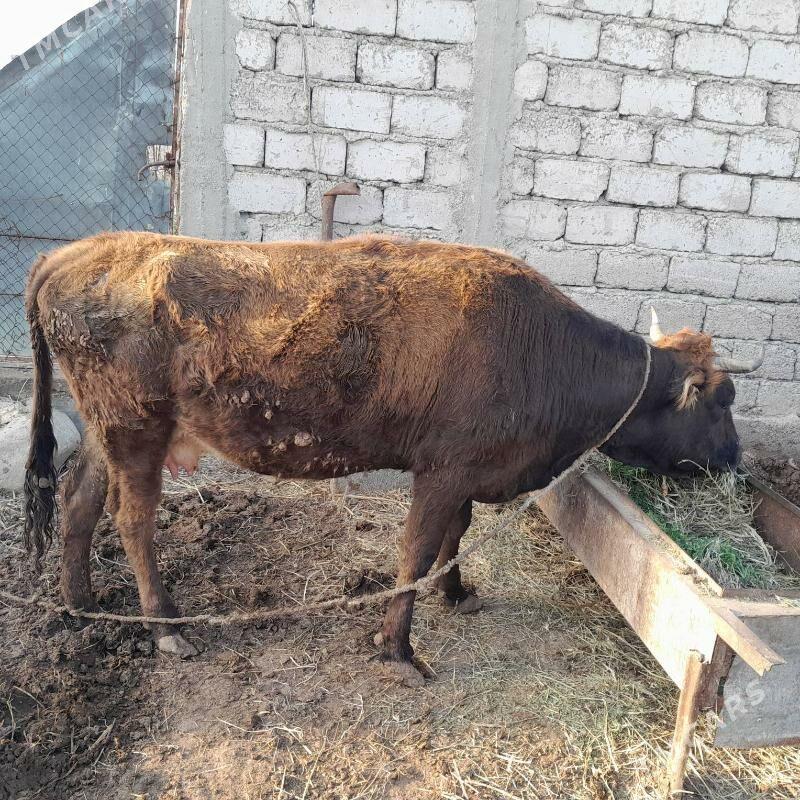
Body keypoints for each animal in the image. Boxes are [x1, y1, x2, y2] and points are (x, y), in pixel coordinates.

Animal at [24, 232, 758, 683]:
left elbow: (455, 536)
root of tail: (81, 251)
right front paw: (399, 648)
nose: (734, 459)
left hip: (106, 432)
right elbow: (416, 550)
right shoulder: (442, 472)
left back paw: (82, 603)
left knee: (78, 500)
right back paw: (165, 628)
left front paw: (455, 593)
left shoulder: (464, 472)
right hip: (136, 431)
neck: (542, 353)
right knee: (132, 521)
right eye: (722, 399)